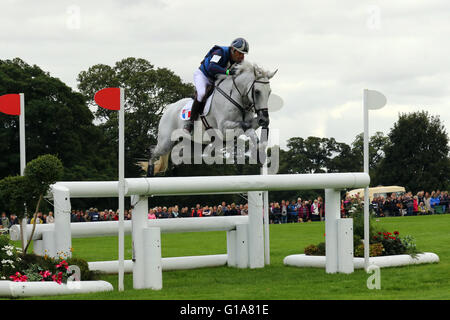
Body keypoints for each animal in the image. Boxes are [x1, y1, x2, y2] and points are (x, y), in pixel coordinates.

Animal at [137, 61, 278, 176]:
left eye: (269, 92)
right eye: (257, 92)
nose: (264, 119)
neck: (236, 97)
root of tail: (169, 109)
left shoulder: (249, 122)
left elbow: (251, 130)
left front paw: (259, 153)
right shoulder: (223, 128)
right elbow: (245, 126)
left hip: (192, 146)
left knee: (176, 154)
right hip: (166, 142)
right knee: (153, 152)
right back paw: (149, 174)